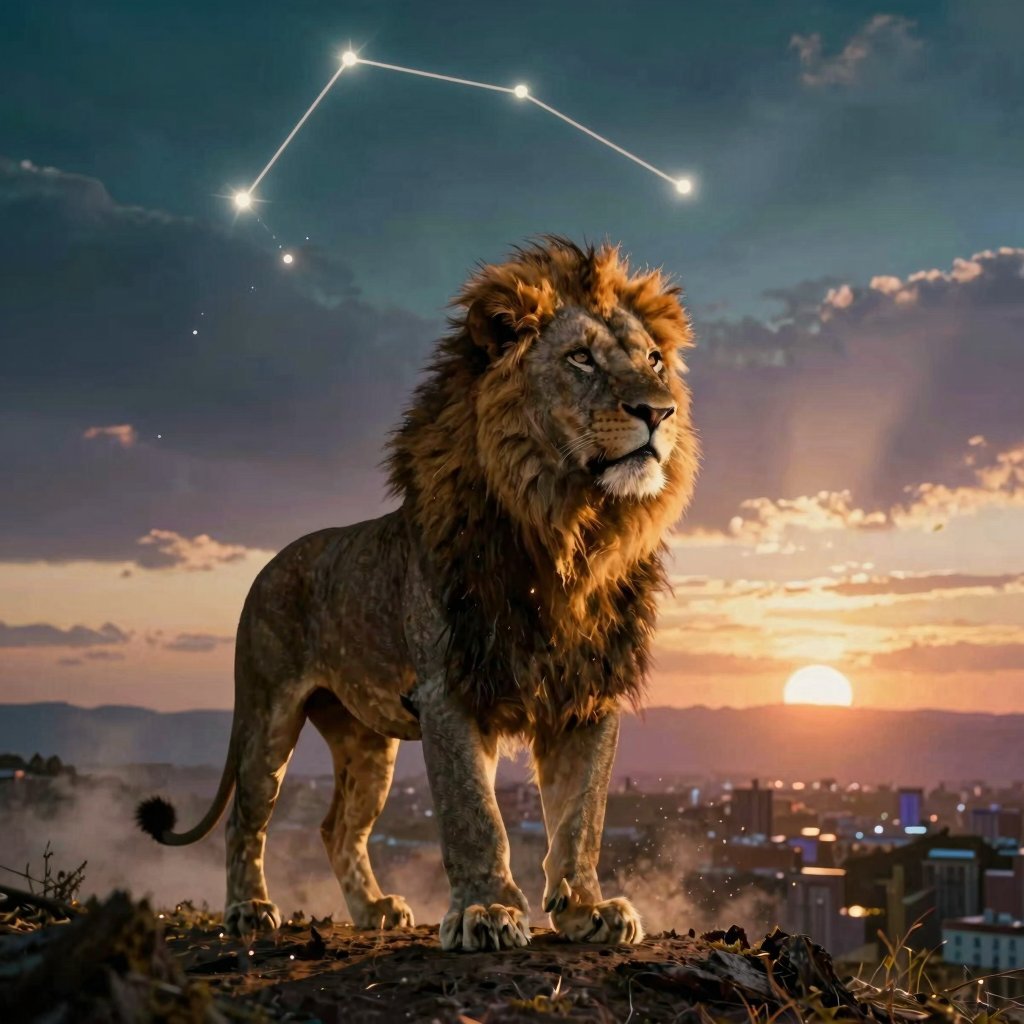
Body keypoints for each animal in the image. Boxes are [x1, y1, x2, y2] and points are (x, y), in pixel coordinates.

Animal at [137, 237, 699, 951]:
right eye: (580, 359)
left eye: (654, 360)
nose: (659, 411)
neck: (571, 533)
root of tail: (272, 563)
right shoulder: (448, 688)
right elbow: (474, 814)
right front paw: (487, 911)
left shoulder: (587, 692)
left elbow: (582, 816)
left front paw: (585, 910)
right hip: (268, 714)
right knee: (246, 818)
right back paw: (248, 911)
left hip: (363, 742)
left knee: (337, 826)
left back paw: (373, 909)